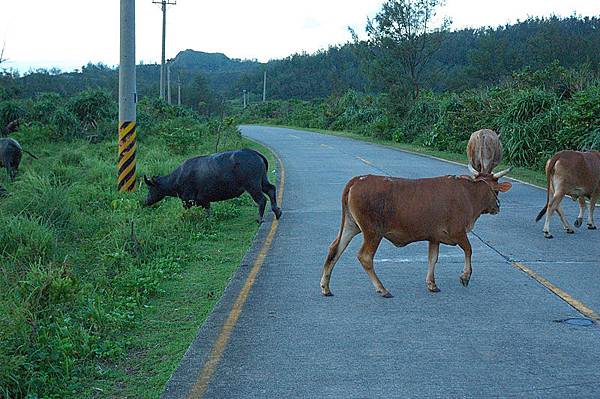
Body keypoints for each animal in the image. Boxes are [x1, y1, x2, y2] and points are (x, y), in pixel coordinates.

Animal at [143, 148, 282, 223]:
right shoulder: (205, 201)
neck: (178, 178)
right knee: (271, 189)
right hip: (262, 181)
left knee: (262, 199)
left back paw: (259, 219)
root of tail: (254, 153)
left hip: (252, 186)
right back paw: (277, 211)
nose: (146, 201)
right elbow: (208, 212)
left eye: (150, 187)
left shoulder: (187, 201)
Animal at [318, 164, 510, 298]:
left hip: (351, 226)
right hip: (373, 231)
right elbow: (469, 250)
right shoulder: (458, 232)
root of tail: (358, 179)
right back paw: (382, 289)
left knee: (335, 249)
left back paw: (326, 288)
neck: (469, 194)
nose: (497, 207)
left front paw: (432, 284)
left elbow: (433, 258)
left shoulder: (434, 236)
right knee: (365, 256)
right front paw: (465, 276)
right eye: (496, 190)